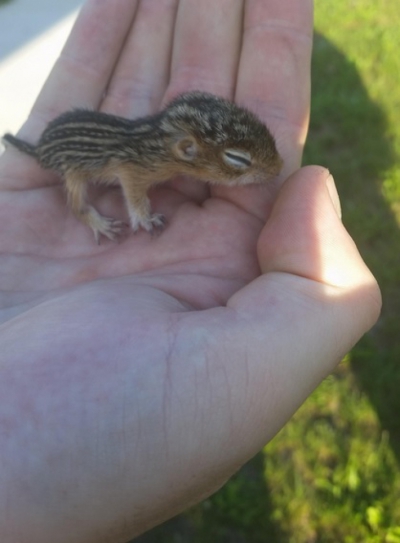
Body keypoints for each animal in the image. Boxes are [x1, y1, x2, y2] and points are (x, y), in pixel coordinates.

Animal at [3, 91, 284, 242]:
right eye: (238, 159)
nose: (280, 167)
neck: (156, 139)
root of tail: (39, 149)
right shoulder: (131, 169)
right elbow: (134, 195)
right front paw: (145, 218)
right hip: (73, 175)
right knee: (77, 207)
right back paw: (101, 225)